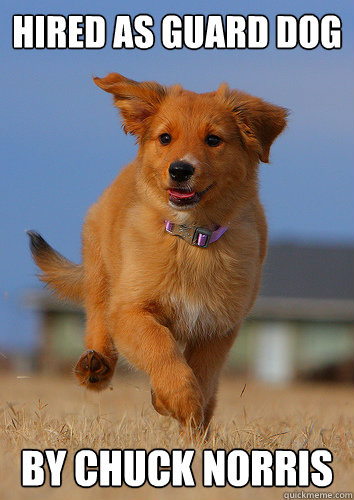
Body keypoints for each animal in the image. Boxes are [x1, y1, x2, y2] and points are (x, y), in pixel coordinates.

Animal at [27, 72, 288, 432]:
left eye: (213, 140)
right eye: (165, 138)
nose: (180, 170)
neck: (191, 239)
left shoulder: (219, 327)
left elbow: (203, 375)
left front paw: (183, 410)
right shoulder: (131, 310)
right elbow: (160, 346)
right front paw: (178, 398)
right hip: (101, 272)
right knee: (97, 317)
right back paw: (95, 366)